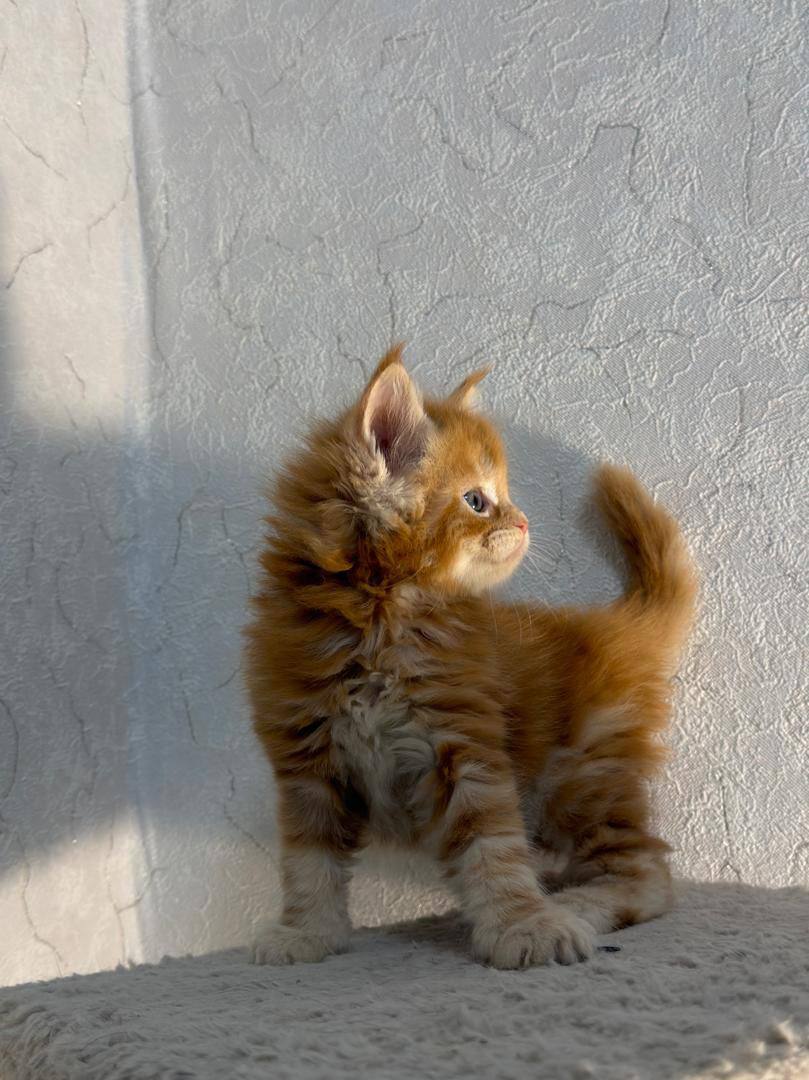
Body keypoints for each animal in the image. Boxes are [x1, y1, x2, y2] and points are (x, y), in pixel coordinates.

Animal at [244, 345, 696, 969]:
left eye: (502, 497)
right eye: (477, 501)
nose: (524, 522)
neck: (378, 623)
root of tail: (607, 623)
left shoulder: (467, 741)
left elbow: (492, 847)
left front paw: (524, 926)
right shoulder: (306, 763)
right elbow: (310, 862)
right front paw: (305, 932)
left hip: (580, 775)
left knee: (646, 872)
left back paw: (573, 905)